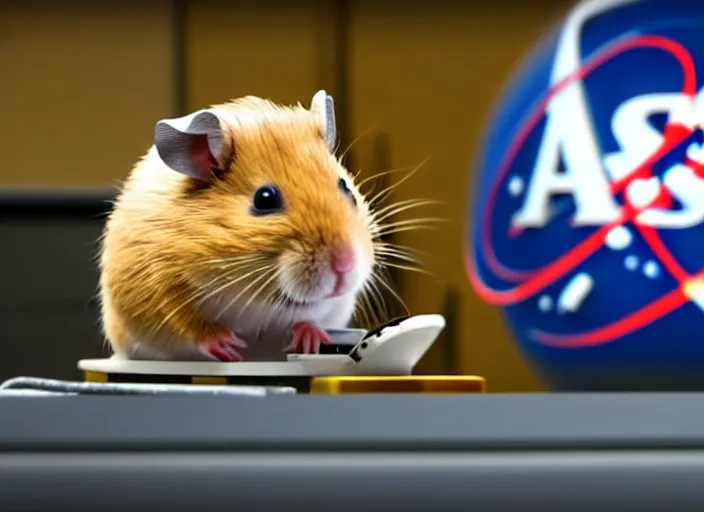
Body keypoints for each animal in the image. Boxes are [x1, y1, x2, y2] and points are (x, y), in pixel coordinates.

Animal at [99, 90, 380, 362]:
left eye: (346, 188)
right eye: (264, 198)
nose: (345, 266)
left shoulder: (333, 306)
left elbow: (311, 317)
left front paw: (311, 340)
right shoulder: (157, 285)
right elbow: (189, 324)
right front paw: (230, 347)